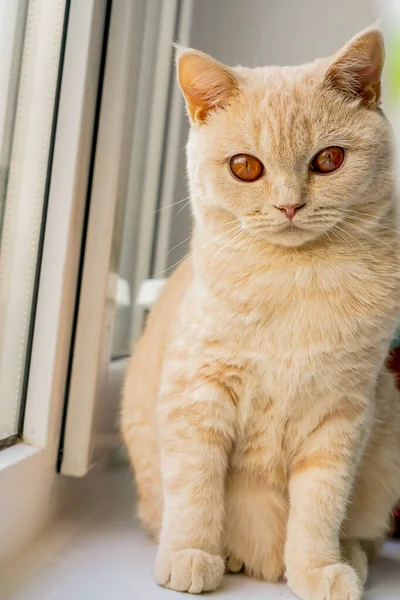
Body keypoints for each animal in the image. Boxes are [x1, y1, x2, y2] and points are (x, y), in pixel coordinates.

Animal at [120, 29, 400, 600]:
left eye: (329, 160)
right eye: (245, 167)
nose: (289, 206)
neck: (294, 279)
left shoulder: (342, 416)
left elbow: (320, 505)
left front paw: (316, 569)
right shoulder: (197, 395)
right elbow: (195, 487)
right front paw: (191, 554)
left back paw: (351, 555)